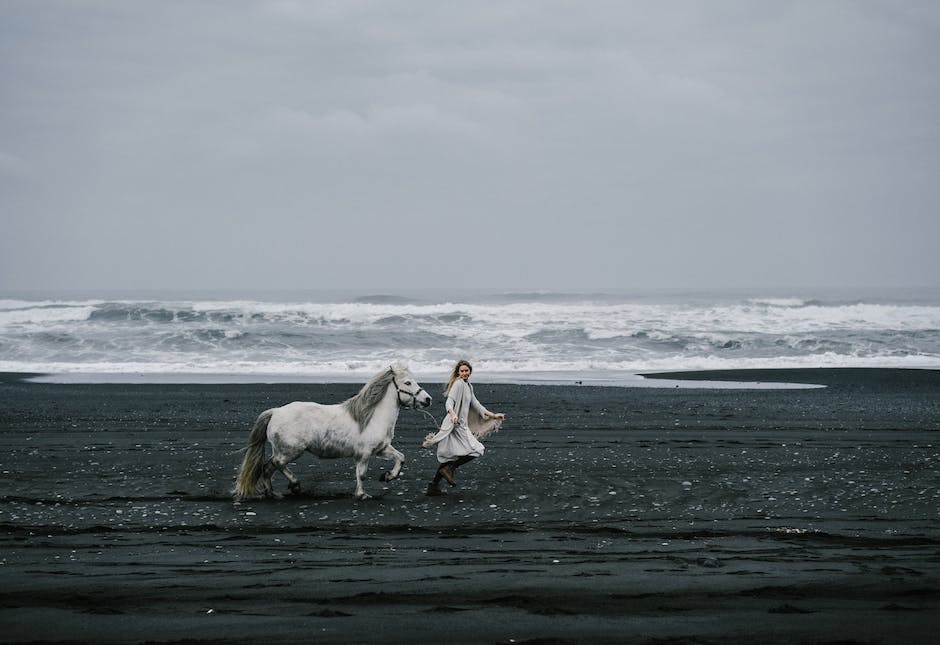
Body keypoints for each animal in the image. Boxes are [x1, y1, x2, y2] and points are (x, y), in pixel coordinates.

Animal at [233, 362, 432, 498]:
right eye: (408, 383)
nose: (428, 399)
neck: (370, 417)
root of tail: (275, 412)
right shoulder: (364, 454)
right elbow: (362, 474)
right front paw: (362, 494)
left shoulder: (382, 449)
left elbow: (401, 458)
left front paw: (388, 476)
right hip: (289, 451)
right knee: (274, 465)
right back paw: (292, 486)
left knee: (269, 468)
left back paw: (274, 493)